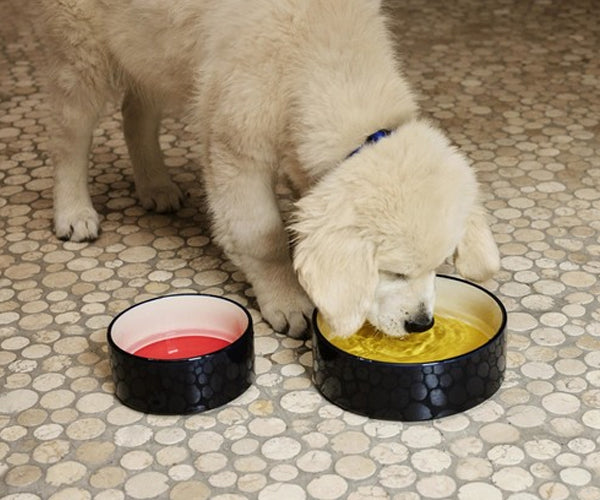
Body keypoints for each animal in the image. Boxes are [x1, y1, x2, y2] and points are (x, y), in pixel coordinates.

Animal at [42, 0, 500, 338]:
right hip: (80, 48)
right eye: (394, 271)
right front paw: (286, 299)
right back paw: (74, 212)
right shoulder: (235, 147)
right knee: (69, 135)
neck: (323, 58)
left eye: (439, 265)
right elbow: (261, 237)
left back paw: (155, 185)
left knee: (136, 109)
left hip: (152, 48)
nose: (421, 324)